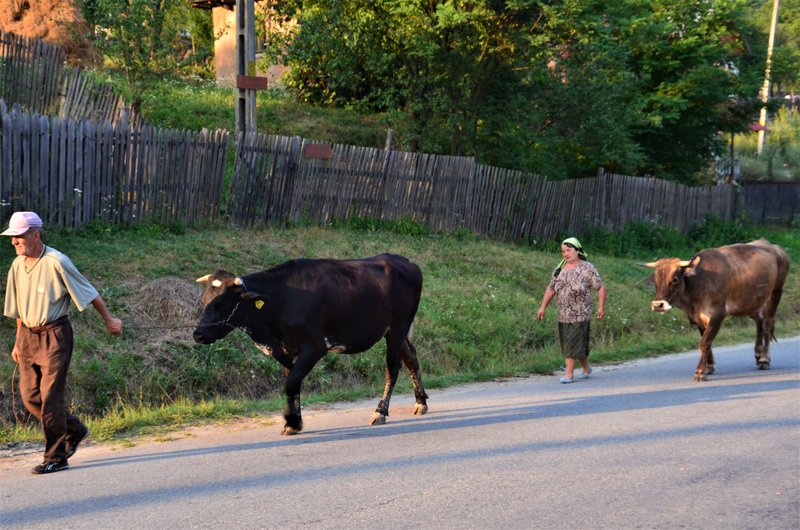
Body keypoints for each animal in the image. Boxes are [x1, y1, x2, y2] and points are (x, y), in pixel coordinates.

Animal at [193, 253, 428, 434]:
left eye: (222, 303)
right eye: (203, 301)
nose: (198, 334)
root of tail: (405, 261)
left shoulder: (315, 347)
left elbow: (291, 383)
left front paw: (291, 421)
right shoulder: (286, 349)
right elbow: (293, 382)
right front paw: (294, 421)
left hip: (397, 328)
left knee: (392, 368)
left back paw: (380, 412)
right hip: (398, 331)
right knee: (411, 358)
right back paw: (421, 402)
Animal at [644, 238, 788, 380]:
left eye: (674, 279)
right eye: (655, 280)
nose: (658, 305)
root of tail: (772, 245)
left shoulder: (717, 315)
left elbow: (705, 342)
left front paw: (700, 371)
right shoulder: (698, 317)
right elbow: (706, 340)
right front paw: (709, 366)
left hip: (776, 293)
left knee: (767, 324)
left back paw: (764, 359)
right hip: (753, 302)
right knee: (759, 321)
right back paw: (758, 354)